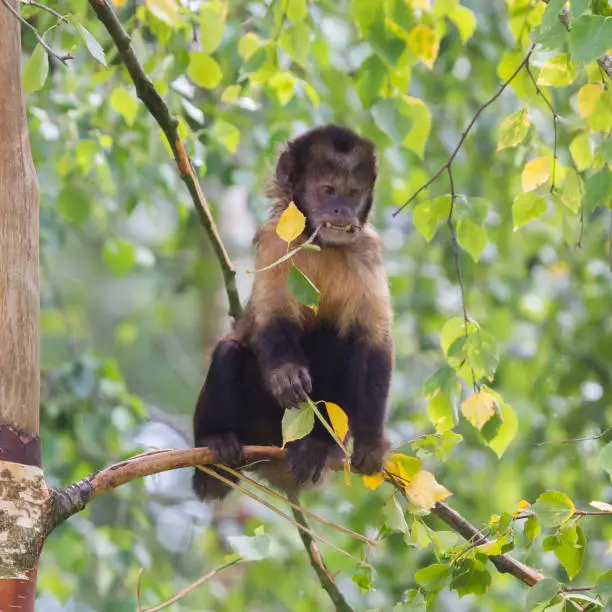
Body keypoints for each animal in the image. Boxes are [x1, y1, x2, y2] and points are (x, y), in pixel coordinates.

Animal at [191, 124, 392, 502]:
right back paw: (214, 450)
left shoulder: (367, 249)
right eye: (328, 191)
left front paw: (372, 441)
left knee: (337, 338)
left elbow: (373, 341)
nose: (342, 211)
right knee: (229, 352)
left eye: (353, 193)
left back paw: (318, 448)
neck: (322, 244)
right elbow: (272, 317)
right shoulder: (276, 238)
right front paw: (286, 373)